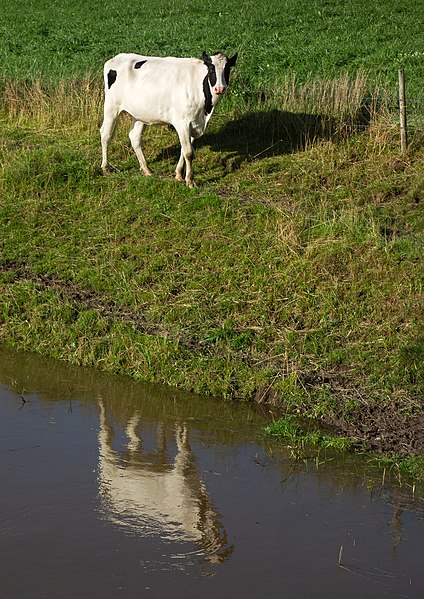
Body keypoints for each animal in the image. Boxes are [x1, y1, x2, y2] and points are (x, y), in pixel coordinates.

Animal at [100, 51, 237, 188]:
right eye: (210, 69)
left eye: (227, 68)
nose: (219, 88)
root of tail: (118, 57)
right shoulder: (182, 122)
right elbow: (189, 152)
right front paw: (190, 180)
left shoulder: (194, 123)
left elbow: (184, 150)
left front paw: (179, 174)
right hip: (111, 106)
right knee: (106, 134)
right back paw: (105, 167)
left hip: (139, 113)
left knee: (134, 137)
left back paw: (146, 169)